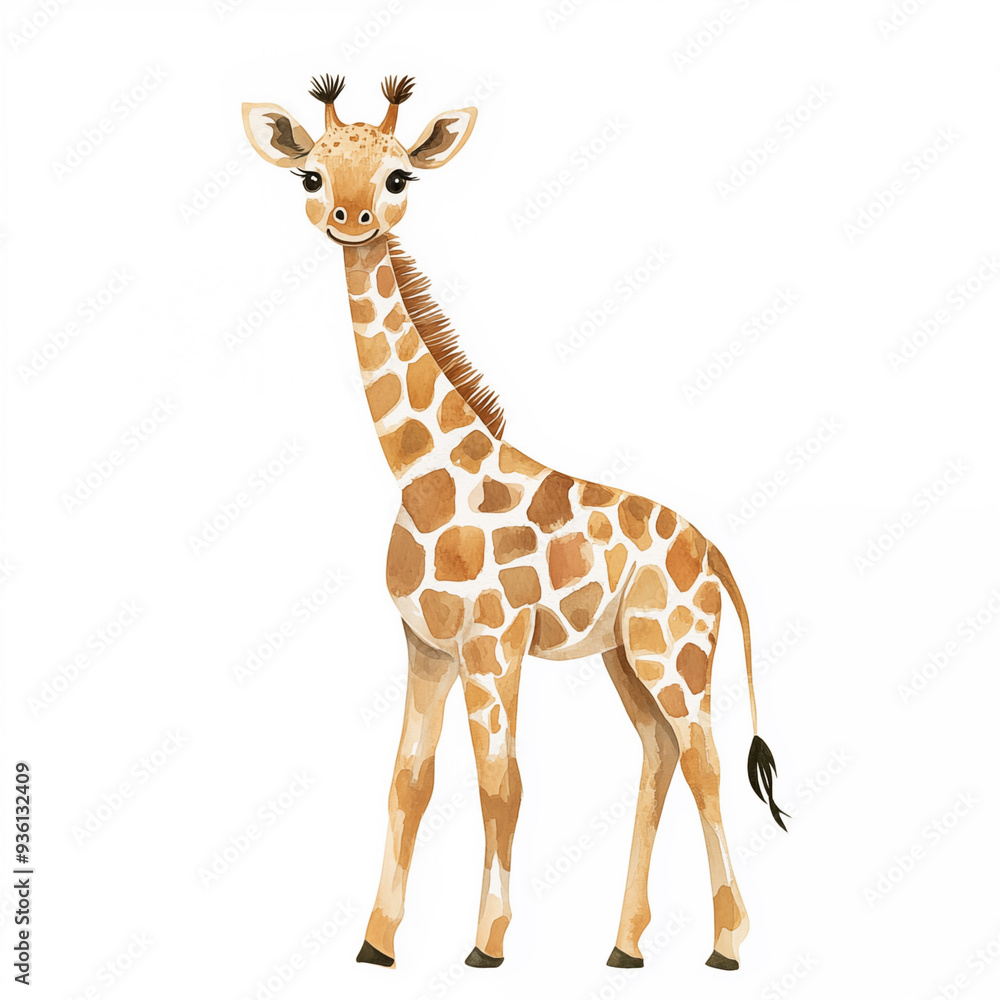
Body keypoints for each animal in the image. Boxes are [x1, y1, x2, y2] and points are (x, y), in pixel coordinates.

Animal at [243, 74, 788, 973]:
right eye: (310, 176)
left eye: (398, 176)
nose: (351, 220)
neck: (425, 475)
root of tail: (717, 559)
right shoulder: (426, 644)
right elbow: (409, 782)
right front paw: (376, 944)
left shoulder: (493, 643)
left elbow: (503, 784)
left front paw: (487, 944)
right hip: (625, 657)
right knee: (660, 753)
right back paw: (625, 946)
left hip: (674, 652)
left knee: (706, 760)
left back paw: (728, 944)